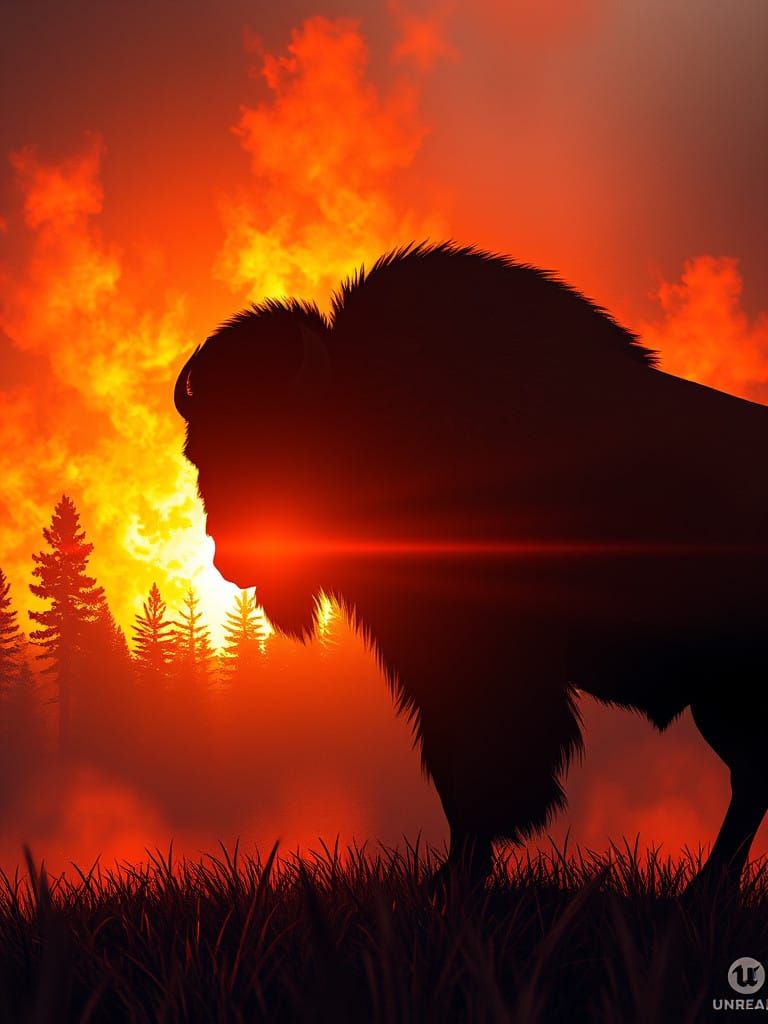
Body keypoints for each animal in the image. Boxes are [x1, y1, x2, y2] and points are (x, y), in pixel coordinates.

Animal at [175, 242, 768, 886]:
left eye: (275, 442)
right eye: (200, 453)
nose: (233, 559)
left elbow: (483, 764)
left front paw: (461, 874)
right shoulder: (424, 661)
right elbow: (451, 764)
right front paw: (453, 872)